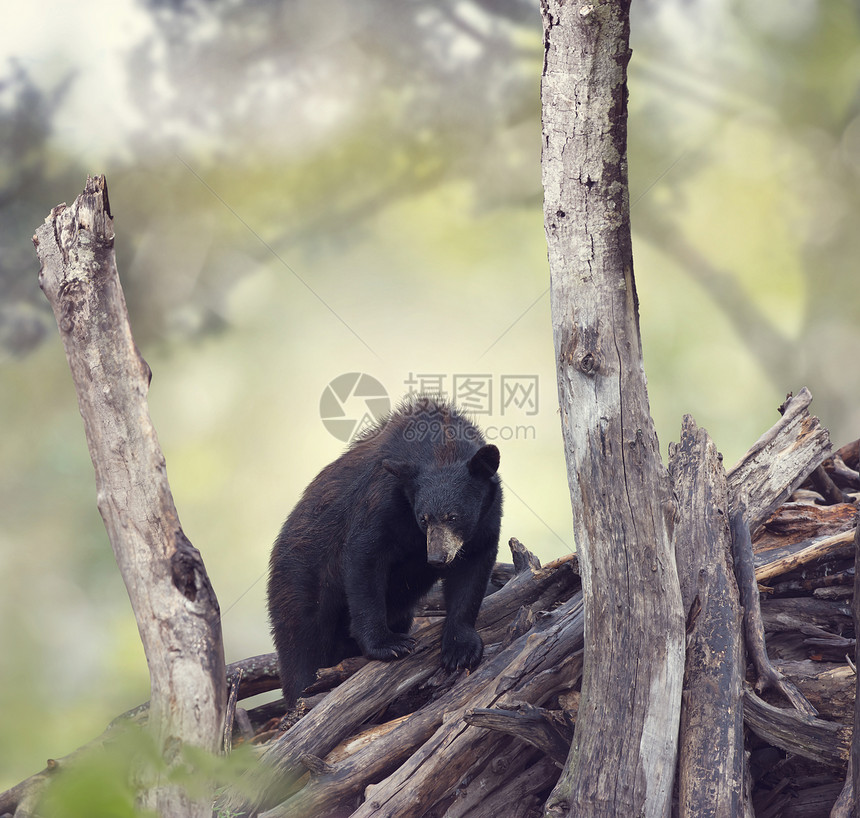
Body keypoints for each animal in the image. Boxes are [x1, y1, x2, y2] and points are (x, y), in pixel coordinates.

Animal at [266, 394, 500, 700]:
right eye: (423, 518)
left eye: (454, 516)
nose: (437, 558)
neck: (442, 446)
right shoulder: (383, 498)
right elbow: (365, 557)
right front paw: (389, 645)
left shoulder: (487, 516)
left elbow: (473, 569)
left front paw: (460, 649)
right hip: (300, 580)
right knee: (303, 644)